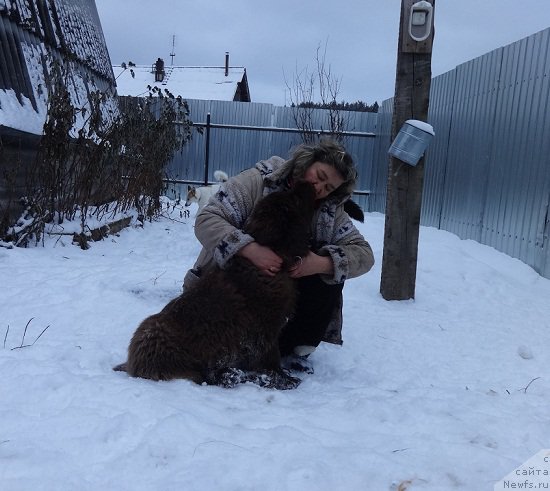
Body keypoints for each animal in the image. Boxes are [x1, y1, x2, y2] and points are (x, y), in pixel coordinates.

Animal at [114, 182, 316, 392]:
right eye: (294, 198)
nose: (306, 183)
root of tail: (130, 363)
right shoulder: (265, 330)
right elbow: (270, 360)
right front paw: (282, 379)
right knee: (200, 375)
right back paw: (229, 376)